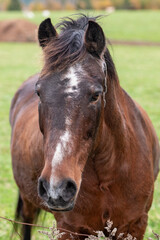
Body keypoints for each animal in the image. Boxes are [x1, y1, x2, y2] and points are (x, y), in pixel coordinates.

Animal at [9, 15, 159, 240]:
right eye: (39, 92)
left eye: (95, 95)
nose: (57, 188)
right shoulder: (69, 228)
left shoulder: (133, 225)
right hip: (28, 202)